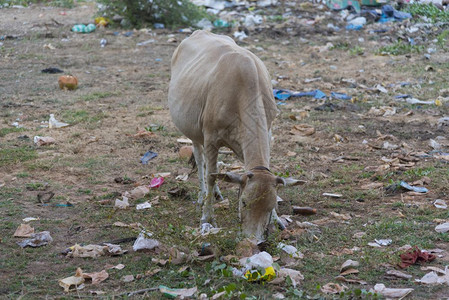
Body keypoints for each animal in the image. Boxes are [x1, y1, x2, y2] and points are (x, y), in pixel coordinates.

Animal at [166, 29, 296, 241]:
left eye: (271, 206)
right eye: (243, 202)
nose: (253, 240)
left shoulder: (265, 132)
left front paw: (278, 220)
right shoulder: (211, 138)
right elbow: (211, 176)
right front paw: (207, 218)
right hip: (194, 131)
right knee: (201, 160)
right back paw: (203, 196)